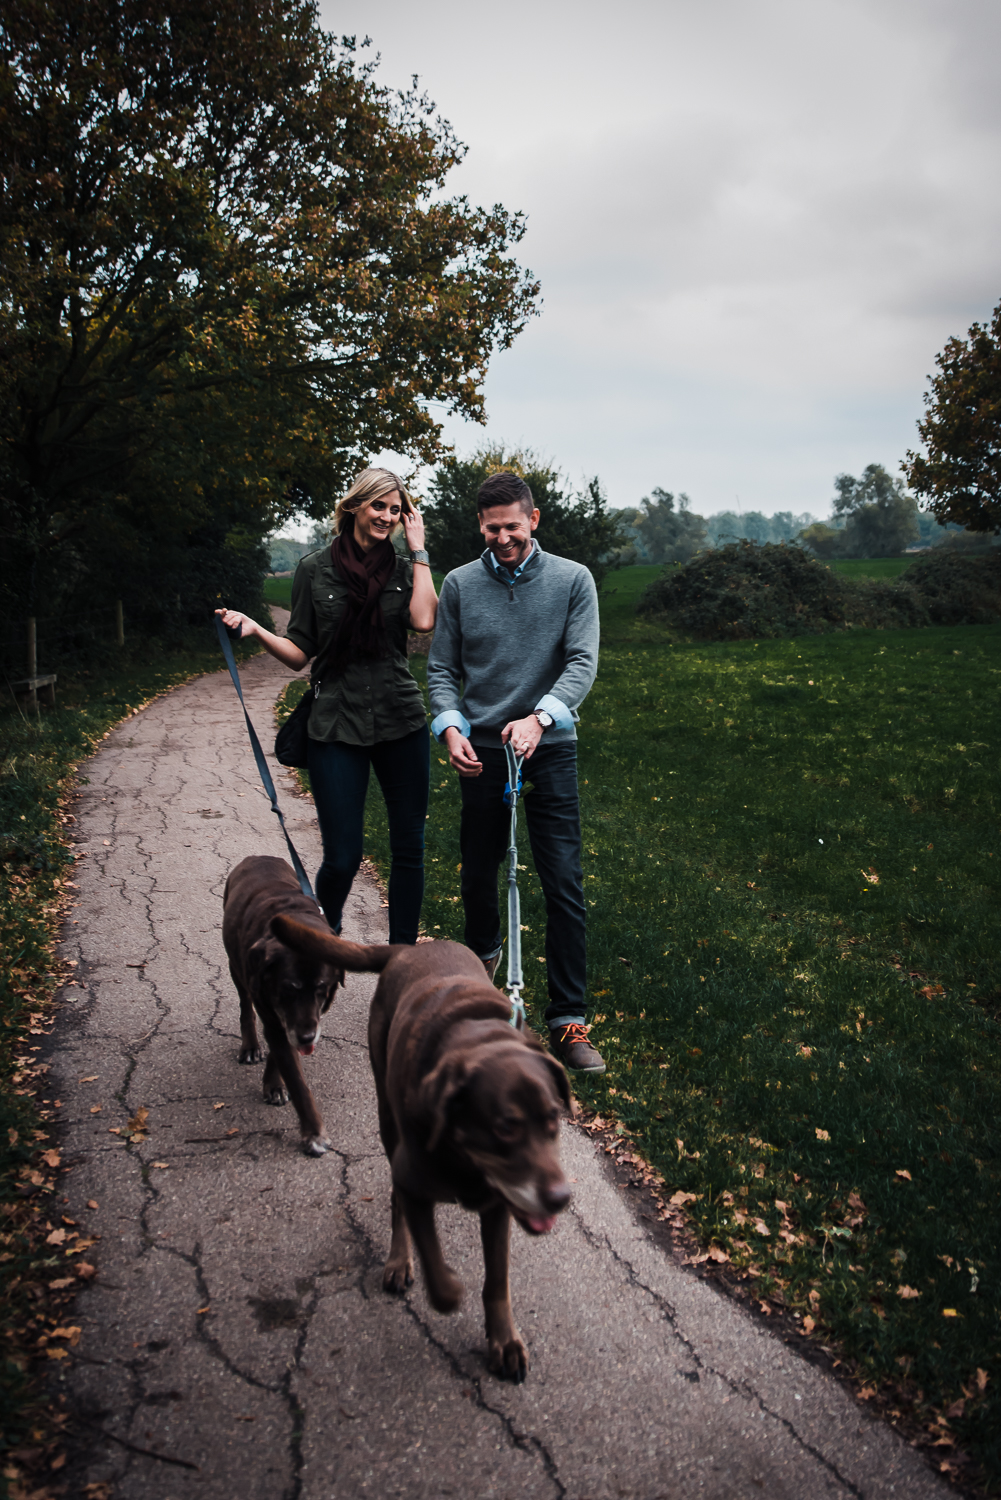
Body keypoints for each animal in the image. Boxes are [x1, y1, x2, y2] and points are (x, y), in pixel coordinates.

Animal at [223, 858, 390, 1158]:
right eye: (289, 989)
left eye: (321, 989)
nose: (307, 1037)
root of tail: (259, 857)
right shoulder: (275, 1016)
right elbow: (297, 1080)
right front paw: (314, 1133)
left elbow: (282, 1056)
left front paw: (274, 1084)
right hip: (237, 967)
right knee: (244, 1005)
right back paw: (250, 1046)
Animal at [268, 918, 570, 1386]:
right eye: (505, 1127)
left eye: (554, 1118)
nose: (559, 1198)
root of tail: (406, 950)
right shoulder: (412, 1179)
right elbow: (434, 1264)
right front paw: (447, 1285)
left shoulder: (498, 1208)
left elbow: (497, 1281)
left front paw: (504, 1341)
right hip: (386, 1113)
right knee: (396, 1202)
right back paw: (397, 1262)